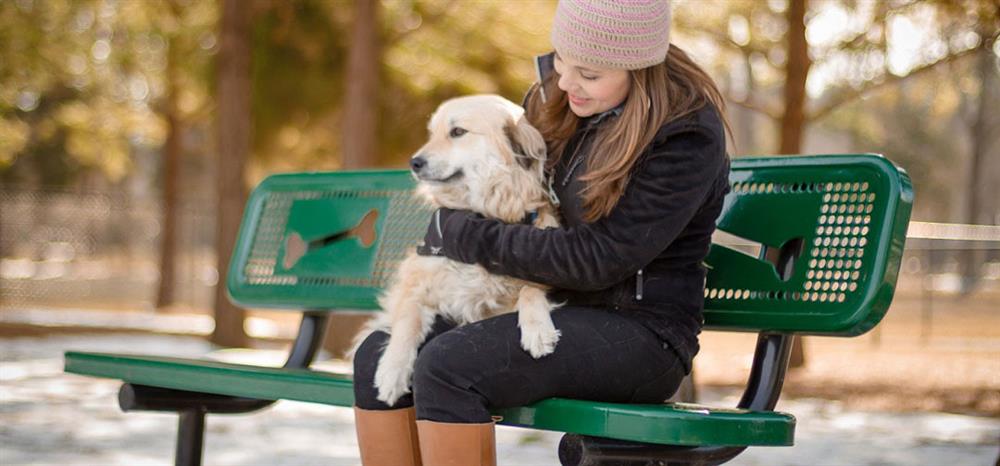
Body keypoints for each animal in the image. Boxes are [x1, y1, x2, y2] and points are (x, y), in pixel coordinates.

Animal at [354, 93, 564, 404]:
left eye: (457, 132)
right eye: (432, 133)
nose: (414, 162)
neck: (485, 213)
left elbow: (530, 289)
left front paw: (537, 328)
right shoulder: (417, 280)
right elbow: (407, 319)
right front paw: (392, 370)